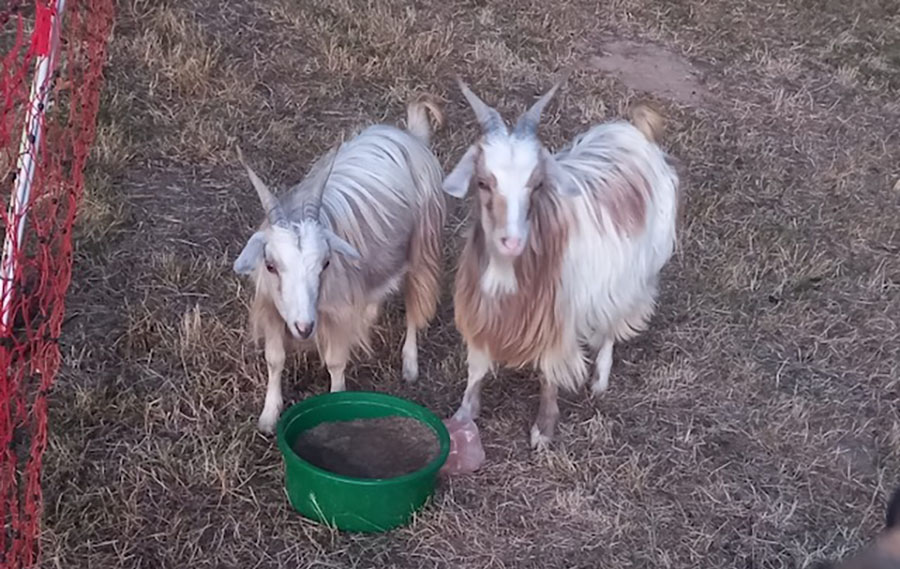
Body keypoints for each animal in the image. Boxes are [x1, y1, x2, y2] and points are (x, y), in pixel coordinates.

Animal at [230, 98, 444, 434]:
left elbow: (335, 361)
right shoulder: (271, 307)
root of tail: (411, 136)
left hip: (424, 246)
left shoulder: (337, 313)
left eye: (326, 263)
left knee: (415, 305)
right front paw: (267, 417)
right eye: (271, 265)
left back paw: (410, 365)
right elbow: (275, 359)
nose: (304, 327)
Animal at [442, 76, 684, 448]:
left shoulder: (558, 322)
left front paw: (543, 430)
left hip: (636, 274)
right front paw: (463, 417)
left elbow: (550, 374)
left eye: (537, 183)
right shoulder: (481, 314)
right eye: (482, 182)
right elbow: (477, 368)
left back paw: (600, 380)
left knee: (612, 325)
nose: (511, 241)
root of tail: (631, 133)